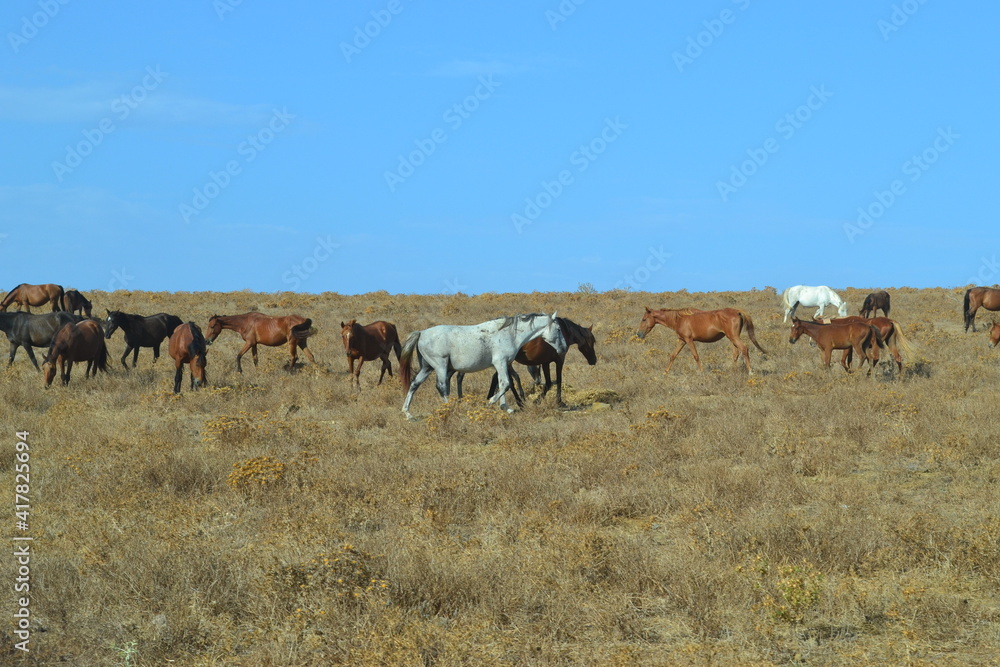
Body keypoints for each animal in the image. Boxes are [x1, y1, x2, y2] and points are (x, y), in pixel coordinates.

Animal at [400, 312, 572, 418]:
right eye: (558, 328)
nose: (564, 348)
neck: (509, 334)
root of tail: (421, 333)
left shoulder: (503, 365)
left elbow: (502, 384)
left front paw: (506, 408)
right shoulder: (500, 362)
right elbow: (506, 384)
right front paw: (491, 402)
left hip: (427, 367)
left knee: (414, 384)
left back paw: (408, 414)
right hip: (440, 366)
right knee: (442, 386)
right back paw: (450, 410)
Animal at [636, 308, 768, 376]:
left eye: (644, 319)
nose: (638, 334)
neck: (679, 319)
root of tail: (738, 311)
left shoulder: (689, 340)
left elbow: (696, 356)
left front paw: (700, 372)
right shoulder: (682, 340)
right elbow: (673, 355)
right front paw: (665, 372)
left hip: (734, 337)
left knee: (744, 349)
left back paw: (750, 371)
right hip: (732, 338)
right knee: (736, 353)